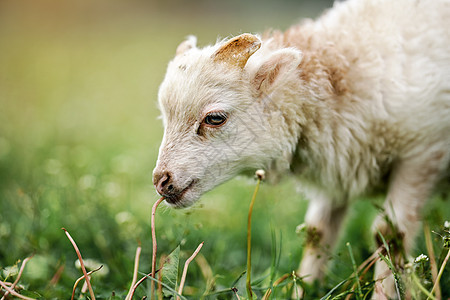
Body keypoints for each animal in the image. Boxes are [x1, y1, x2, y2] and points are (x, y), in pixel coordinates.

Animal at [152, 0, 450, 298]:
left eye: (215, 118)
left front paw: (384, 292)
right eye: (164, 116)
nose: (161, 181)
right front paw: (304, 288)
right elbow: (316, 234)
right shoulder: (338, 160)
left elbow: (390, 235)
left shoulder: (421, 153)